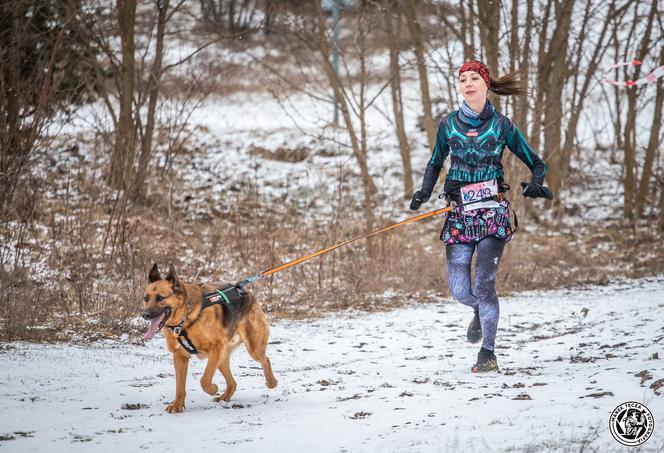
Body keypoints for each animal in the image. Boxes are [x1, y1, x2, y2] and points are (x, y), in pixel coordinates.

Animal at [141, 262, 276, 414]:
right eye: (146, 298)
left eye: (160, 298)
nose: (144, 315)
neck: (185, 319)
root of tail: (246, 292)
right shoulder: (180, 356)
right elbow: (180, 386)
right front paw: (177, 405)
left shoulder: (215, 349)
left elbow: (204, 380)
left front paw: (213, 389)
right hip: (222, 359)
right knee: (233, 383)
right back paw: (224, 397)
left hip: (253, 349)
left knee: (265, 360)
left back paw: (271, 382)